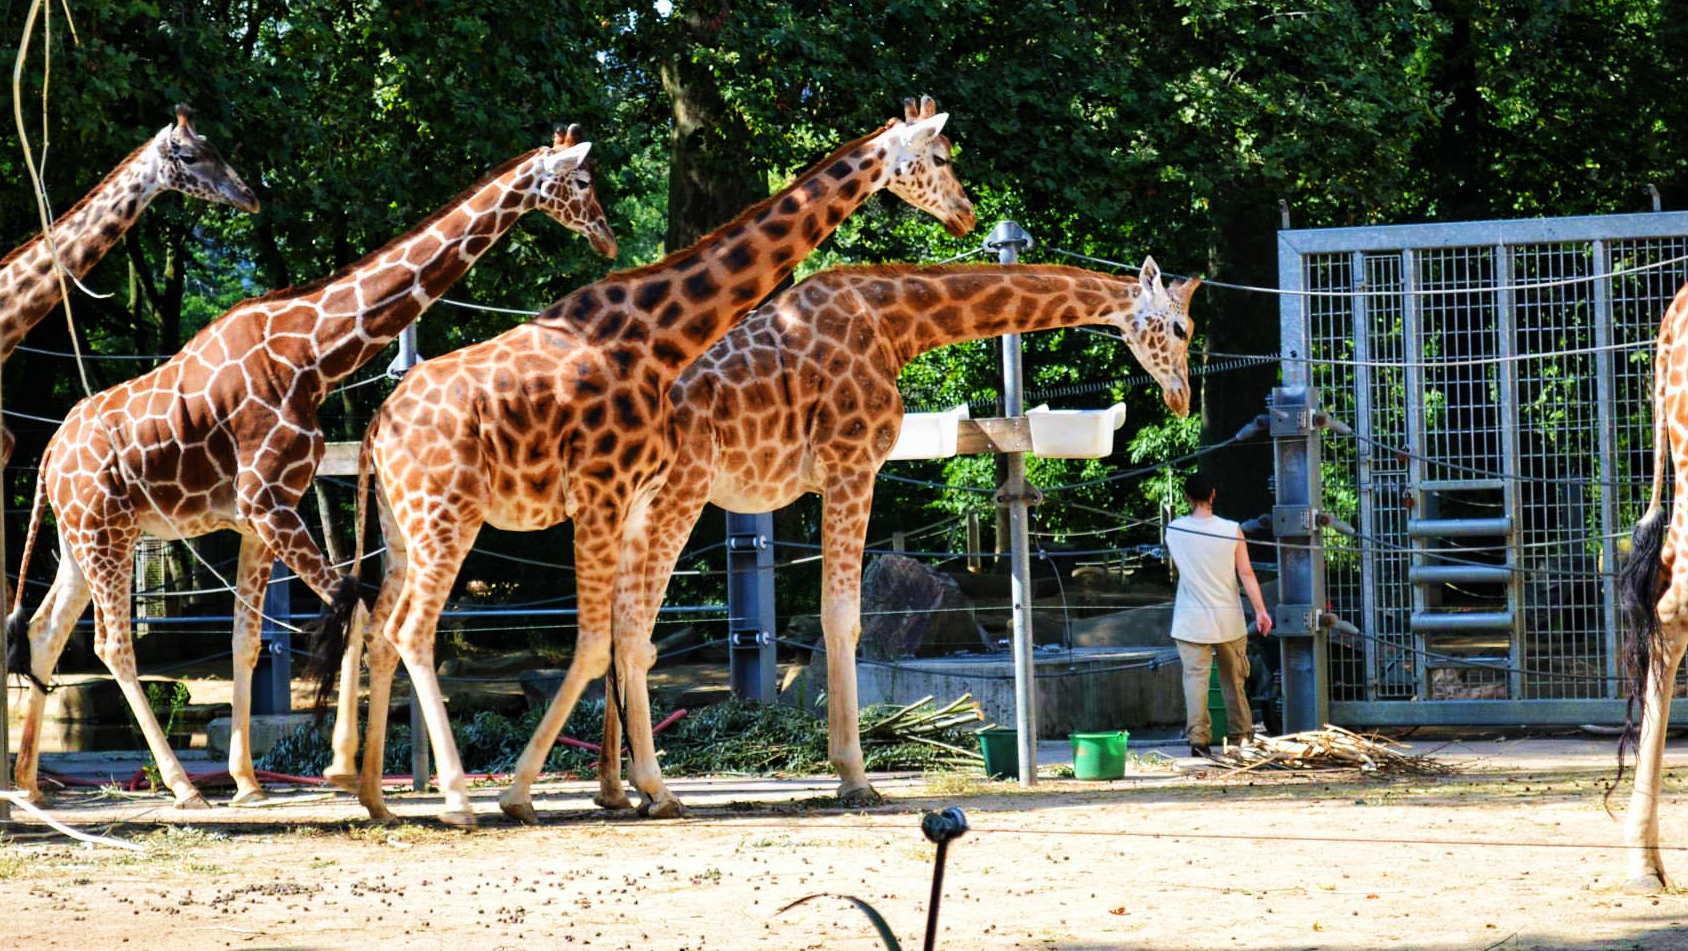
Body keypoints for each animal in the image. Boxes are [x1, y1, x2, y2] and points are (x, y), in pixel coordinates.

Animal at [327, 95, 975, 828]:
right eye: (941, 156)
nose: (965, 212)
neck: (659, 335)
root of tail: (376, 425)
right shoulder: (602, 494)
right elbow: (594, 642)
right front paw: (528, 793)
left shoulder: (634, 500)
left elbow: (626, 637)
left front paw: (643, 787)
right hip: (447, 517)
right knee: (412, 630)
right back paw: (459, 798)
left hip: (401, 525)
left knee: (379, 630)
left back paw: (375, 795)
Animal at [591, 260, 1198, 806]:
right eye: (1180, 328)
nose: (1181, 396)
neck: (892, 323)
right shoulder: (851, 465)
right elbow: (842, 618)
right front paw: (854, 778)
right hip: (682, 490)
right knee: (635, 630)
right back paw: (656, 789)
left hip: (632, 506)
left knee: (610, 626)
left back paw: (613, 789)